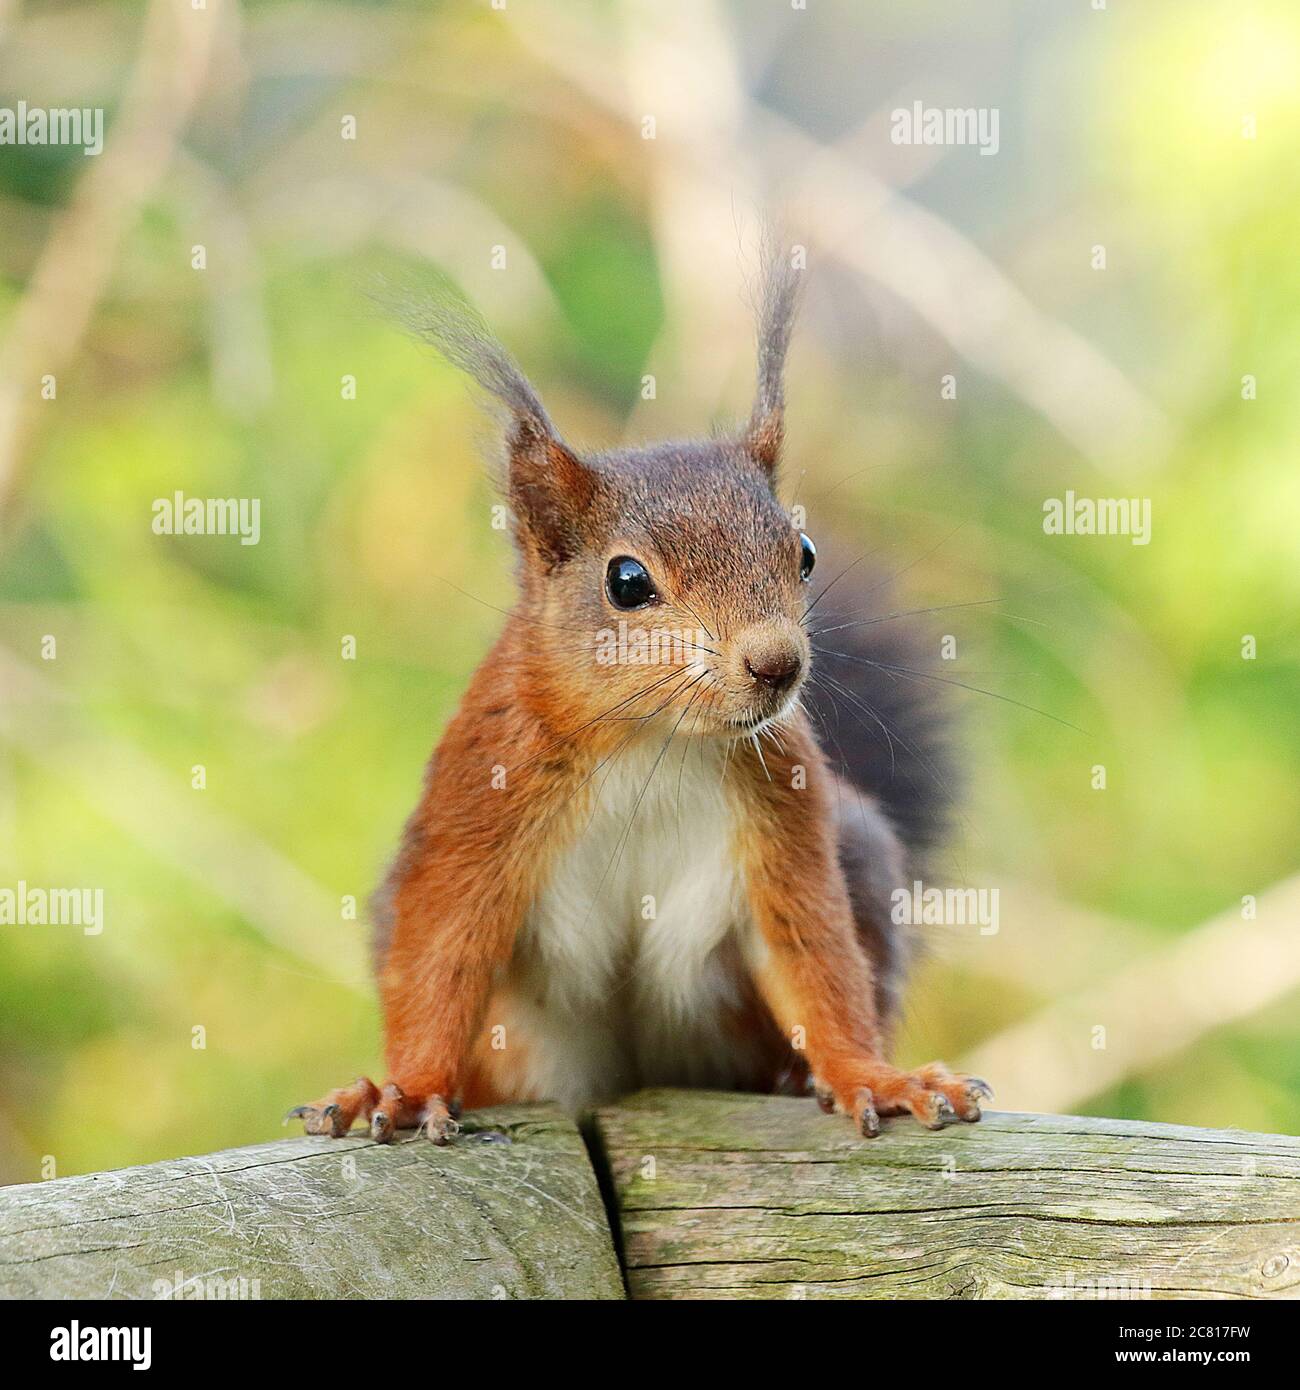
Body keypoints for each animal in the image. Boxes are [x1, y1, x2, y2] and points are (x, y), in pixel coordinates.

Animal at [291, 244, 984, 1145]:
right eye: (627, 582)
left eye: (803, 552)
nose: (777, 665)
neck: (653, 741)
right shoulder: (480, 798)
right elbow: (443, 953)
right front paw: (405, 1089)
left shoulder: (785, 818)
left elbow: (814, 956)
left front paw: (873, 1076)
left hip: (856, 850)